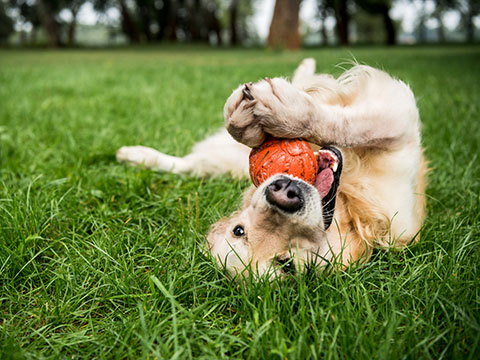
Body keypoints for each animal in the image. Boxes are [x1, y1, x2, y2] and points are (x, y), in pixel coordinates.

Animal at [116, 59, 428, 278]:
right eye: (240, 230)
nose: (283, 193)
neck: (348, 207)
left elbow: (347, 123)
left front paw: (279, 113)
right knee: (189, 165)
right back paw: (134, 155)